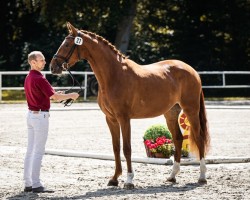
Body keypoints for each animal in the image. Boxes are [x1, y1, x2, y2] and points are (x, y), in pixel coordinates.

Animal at [48, 22, 209, 188]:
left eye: (67, 45)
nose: (53, 67)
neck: (114, 75)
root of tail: (192, 71)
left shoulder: (124, 118)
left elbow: (127, 148)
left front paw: (129, 180)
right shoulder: (111, 119)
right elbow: (116, 147)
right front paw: (114, 179)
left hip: (191, 110)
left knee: (199, 138)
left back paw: (202, 177)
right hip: (170, 113)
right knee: (177, 138)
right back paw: (172, 176)